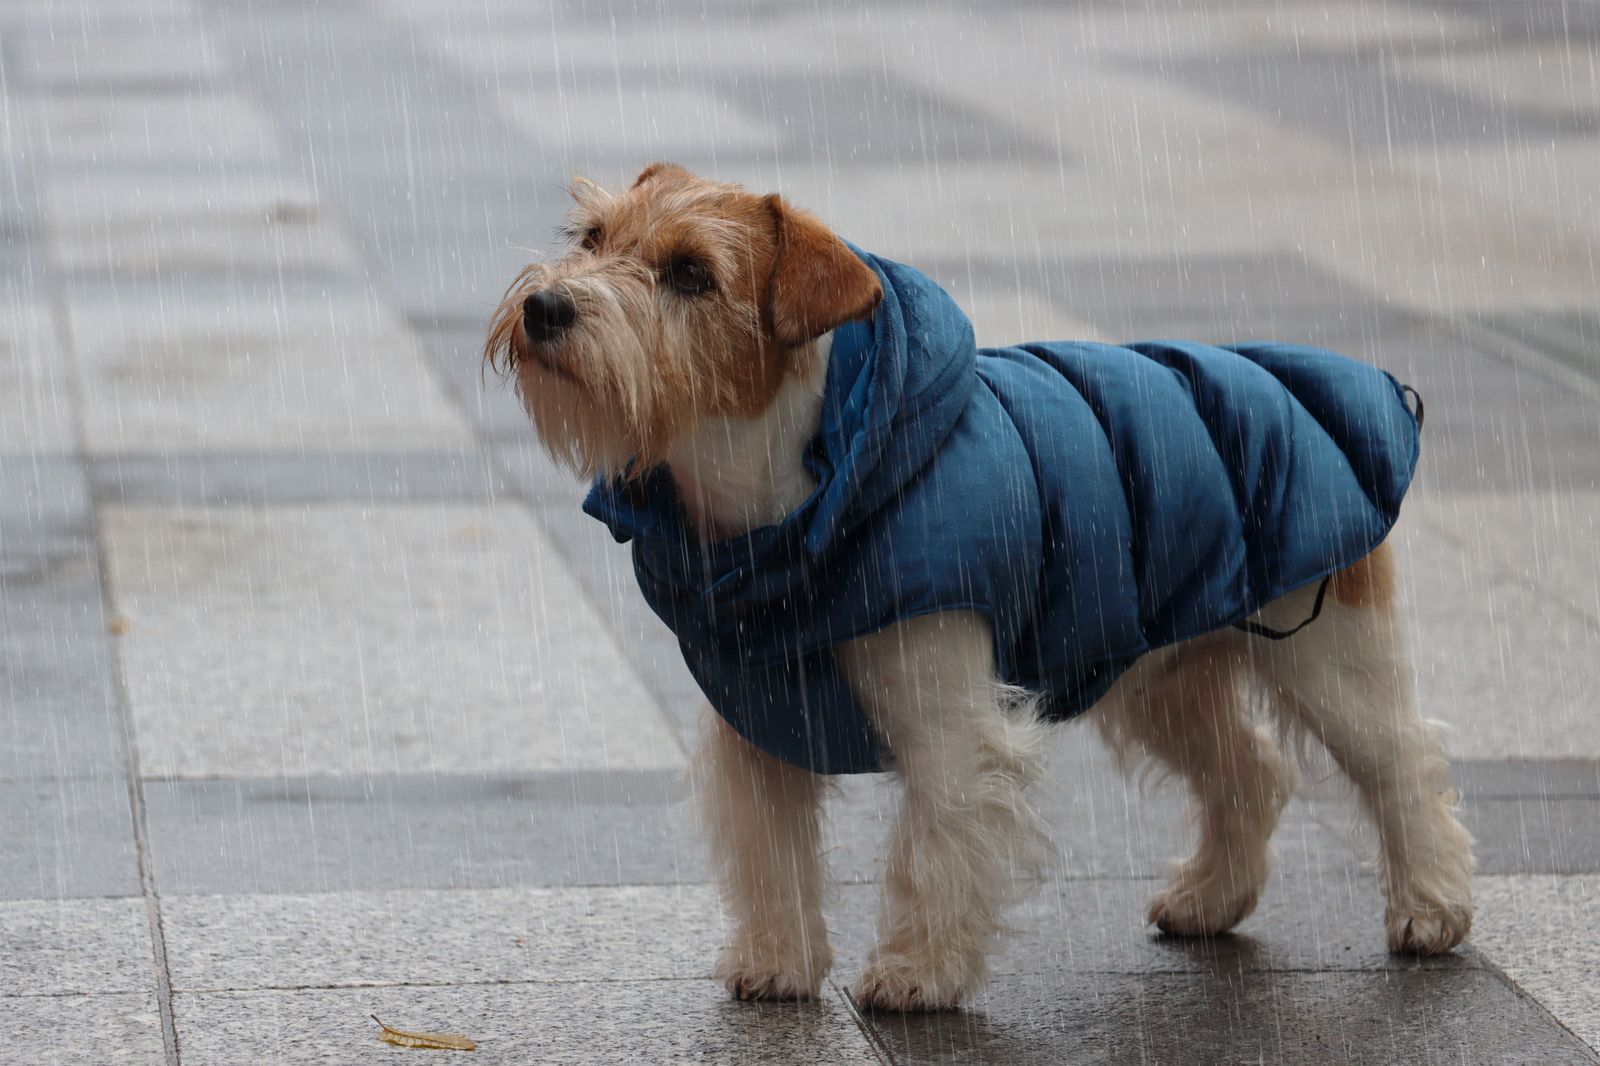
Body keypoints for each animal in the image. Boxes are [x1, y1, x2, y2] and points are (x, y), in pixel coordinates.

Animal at [483, 161, 1472, 1011]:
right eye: (591, 234)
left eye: (691, 273)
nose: (545, 306)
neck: (782, 514)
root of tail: (1363, 383)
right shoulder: (756, 728)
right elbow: (771, 857)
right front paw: (777, 961)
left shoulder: (951, 728)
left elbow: (937, 850)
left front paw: (918, 974)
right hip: (1160, 676)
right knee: (1252, 770)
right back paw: (1209, 899)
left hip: (1328, 655)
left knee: (1401, 760)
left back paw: (1430, 906)